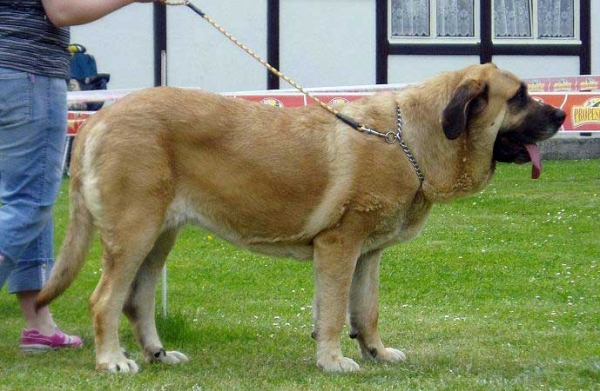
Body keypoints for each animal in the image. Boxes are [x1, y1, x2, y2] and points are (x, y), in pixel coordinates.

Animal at [36, 63, 564, 374]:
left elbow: (365, 309)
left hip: (159, 236)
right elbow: (332, 312)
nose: (560, 115)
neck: (409, 141)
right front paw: (333, 360)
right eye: (519, 97)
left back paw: (158, 354)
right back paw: (113, 360)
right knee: (105, 299)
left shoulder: (367, 254)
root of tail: (98, 119)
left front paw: (375, 352)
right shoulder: (339, 246)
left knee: (137, 299)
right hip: (134, 232)